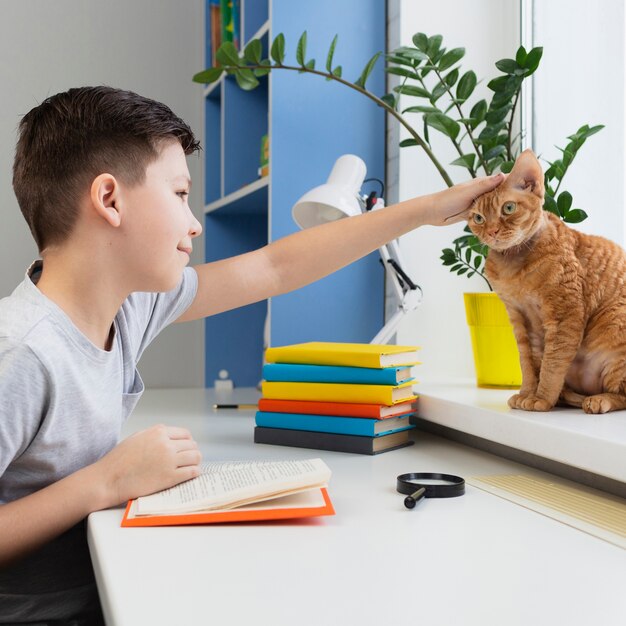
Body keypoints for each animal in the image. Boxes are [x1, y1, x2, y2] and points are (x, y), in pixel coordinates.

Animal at [466, 149, 624, 412]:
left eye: (508, 208)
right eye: (478, 218)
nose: (492, 232)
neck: (514, 269)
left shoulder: (565, 315)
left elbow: (552, 363)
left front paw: (541, 398)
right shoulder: (520, 319)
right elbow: (528, 363)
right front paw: (527, 393)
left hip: (614, 331)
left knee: (621, 394)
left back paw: (598, 400)